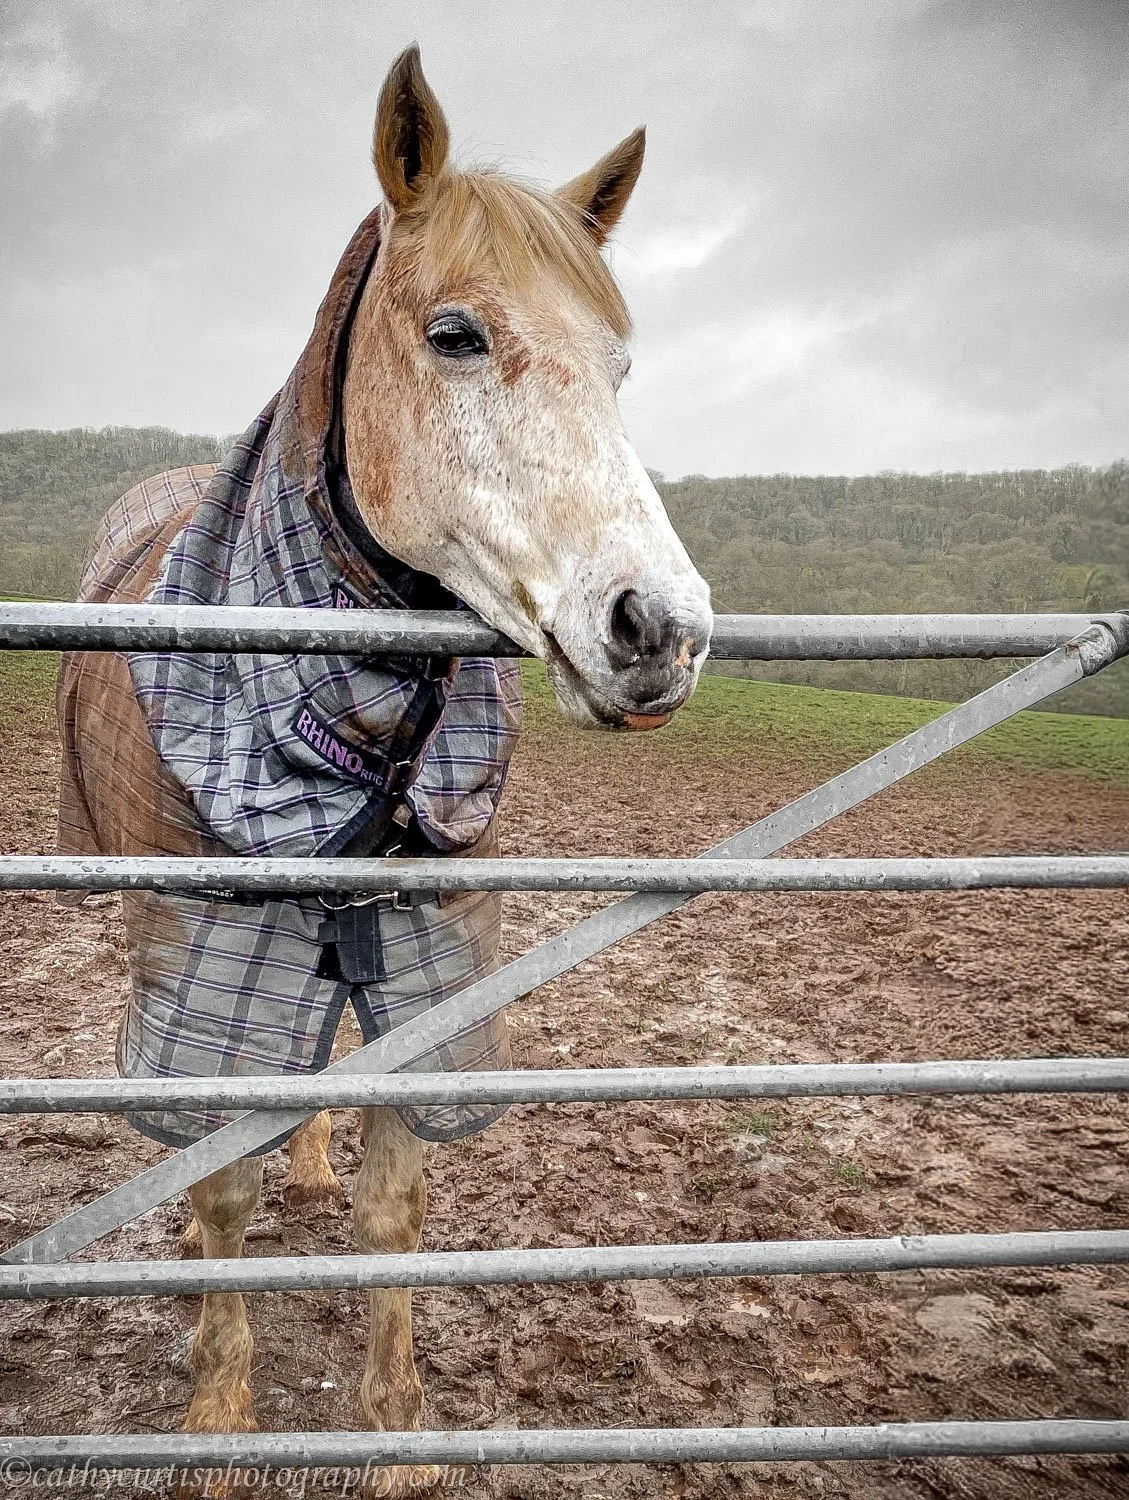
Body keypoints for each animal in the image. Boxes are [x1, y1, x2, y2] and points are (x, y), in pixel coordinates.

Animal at [55, 45, 712, 1497]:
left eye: (621, 365)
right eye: (456, 333)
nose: (662, 628)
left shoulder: (419, 958)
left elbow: (394, 1198)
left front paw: (396, 1429)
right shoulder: (208, 977)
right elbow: (217, 1191)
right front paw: (218, 1426)